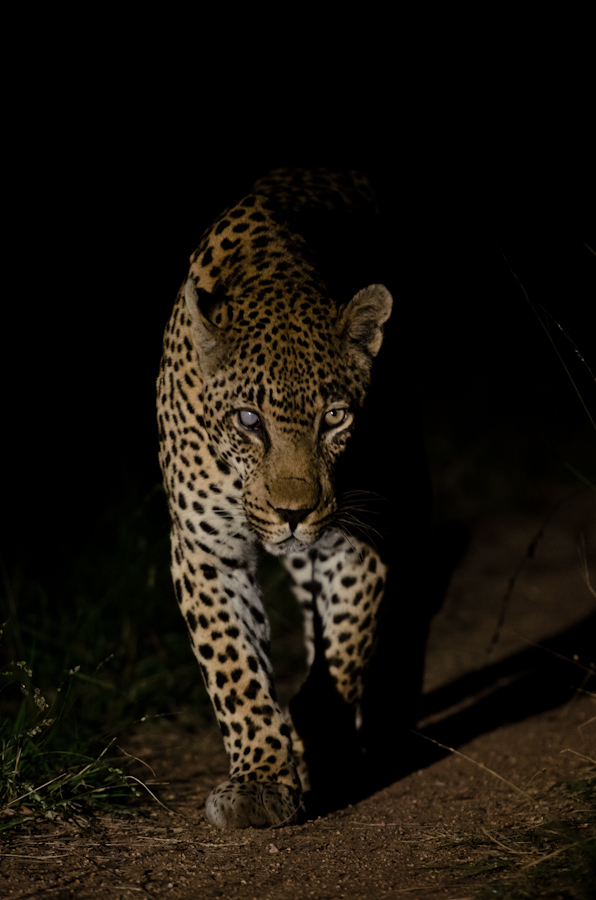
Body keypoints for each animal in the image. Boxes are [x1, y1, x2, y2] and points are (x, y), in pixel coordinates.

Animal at [157, 167, 418, 830]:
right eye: (249, 420)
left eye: (334, 418)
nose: (294, 513)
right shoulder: (204, 549)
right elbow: (234, 669)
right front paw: (260, 782)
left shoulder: (360, 535)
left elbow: (346, 642)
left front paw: (319, 732)